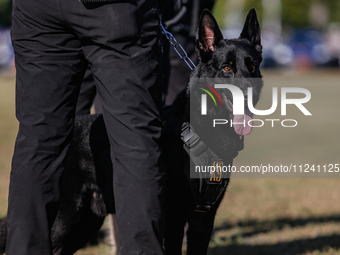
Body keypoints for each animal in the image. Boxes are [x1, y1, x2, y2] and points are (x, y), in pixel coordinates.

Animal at [0, 7, 262, 255]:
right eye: (226, 68)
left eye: (253, 66)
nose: (249, 94)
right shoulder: (174, 220)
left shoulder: (203, 219)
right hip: (64, 218)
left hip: (85, 224)